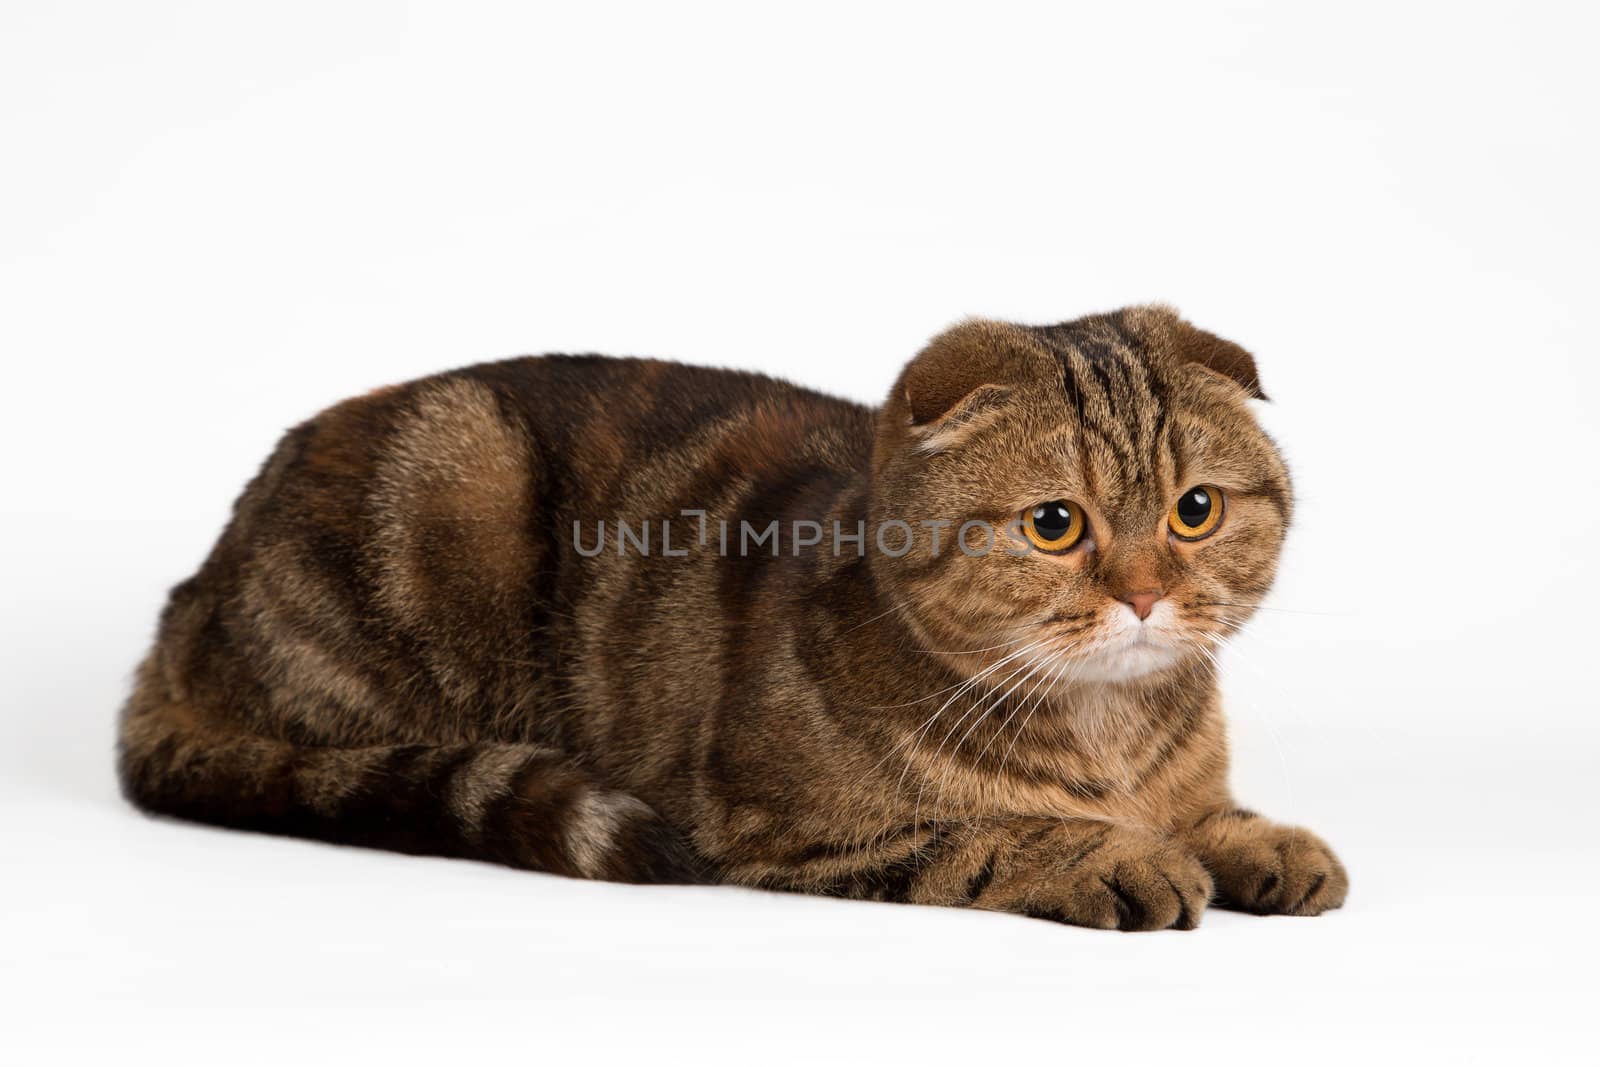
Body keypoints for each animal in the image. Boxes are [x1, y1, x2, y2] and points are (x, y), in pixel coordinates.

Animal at [118, 303, 1350, 927]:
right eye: (1054, 524)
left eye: (1195, 509)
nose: (1145, 594)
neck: (1110, 736)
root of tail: (185, 604)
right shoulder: (774, 831)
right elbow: (993, 833)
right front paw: (1117, 856)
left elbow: (1209, 811)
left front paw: (1258, 838)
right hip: (451, 490)